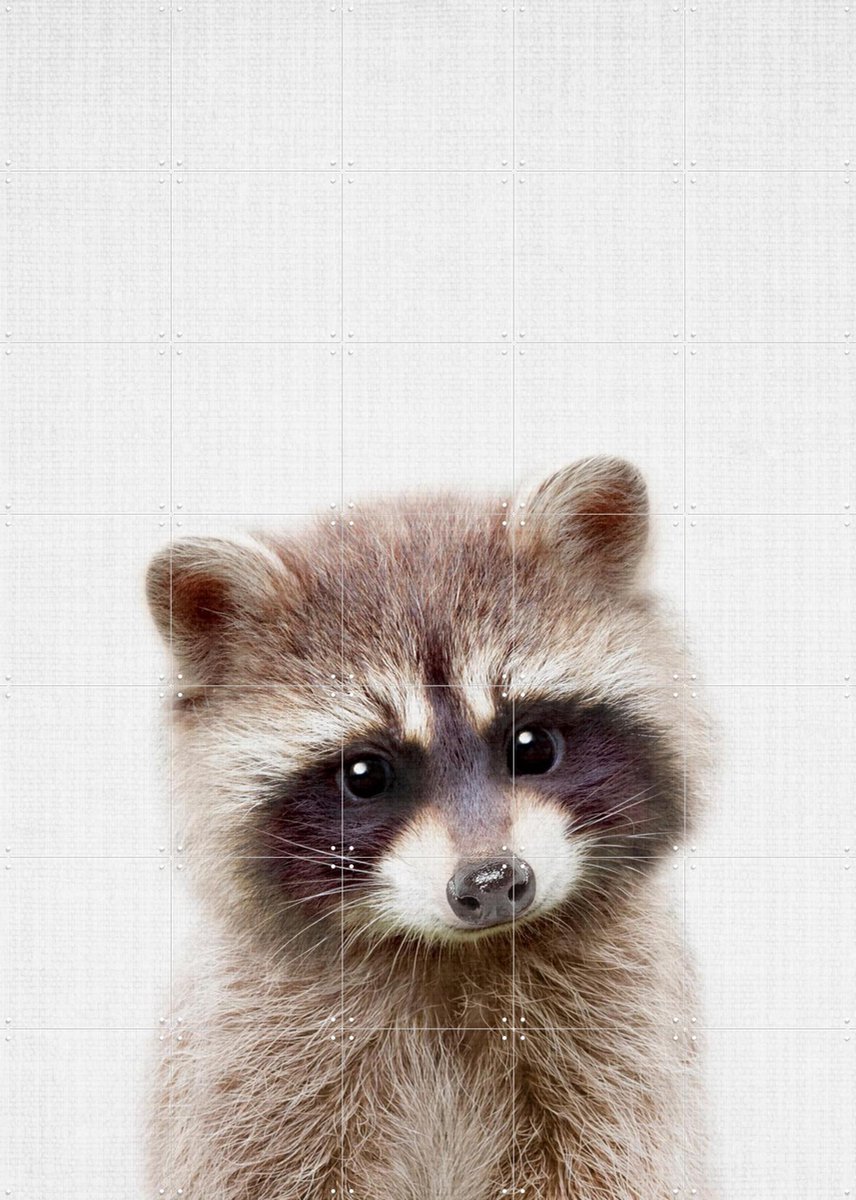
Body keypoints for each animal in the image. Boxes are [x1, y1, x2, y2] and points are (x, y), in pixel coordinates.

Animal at [144, 456, 712, 1199]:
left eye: (533, 746)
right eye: (364, 776)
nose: (493, 881)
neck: (455, 955)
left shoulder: (622, 1045)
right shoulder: (253, 1068)